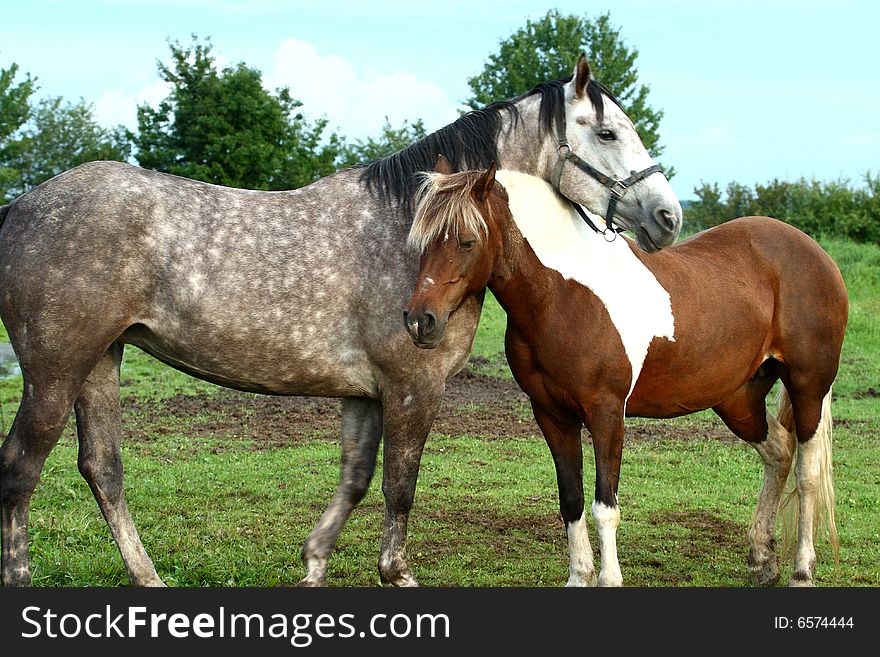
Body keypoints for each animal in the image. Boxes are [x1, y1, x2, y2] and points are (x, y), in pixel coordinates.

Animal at [0, 56, 680, 588]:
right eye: (608, 133)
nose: (667, 217)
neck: (412, 231)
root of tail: (20, 208)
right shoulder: (413, 387)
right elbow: (399, 484)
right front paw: (396, 573)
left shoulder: (365, 393)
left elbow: (355, 479)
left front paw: (313, 563)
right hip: (55, 372)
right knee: (21, 470)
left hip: (101, 360)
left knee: (102, 469)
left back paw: (148, 577)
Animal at [404, 160, 844, 588]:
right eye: (421, 242)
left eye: (466, 241)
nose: (420, 320)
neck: (563, 294)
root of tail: (814, 253)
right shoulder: (551, 415)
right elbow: (571, 500)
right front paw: (579, 576)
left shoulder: (607, 413)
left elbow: (605, 505)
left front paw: (608, 577)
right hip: (739, 398)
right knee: (779, 451)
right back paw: (762, 560)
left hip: (807, 386)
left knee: (807, 472)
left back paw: (802, 570)